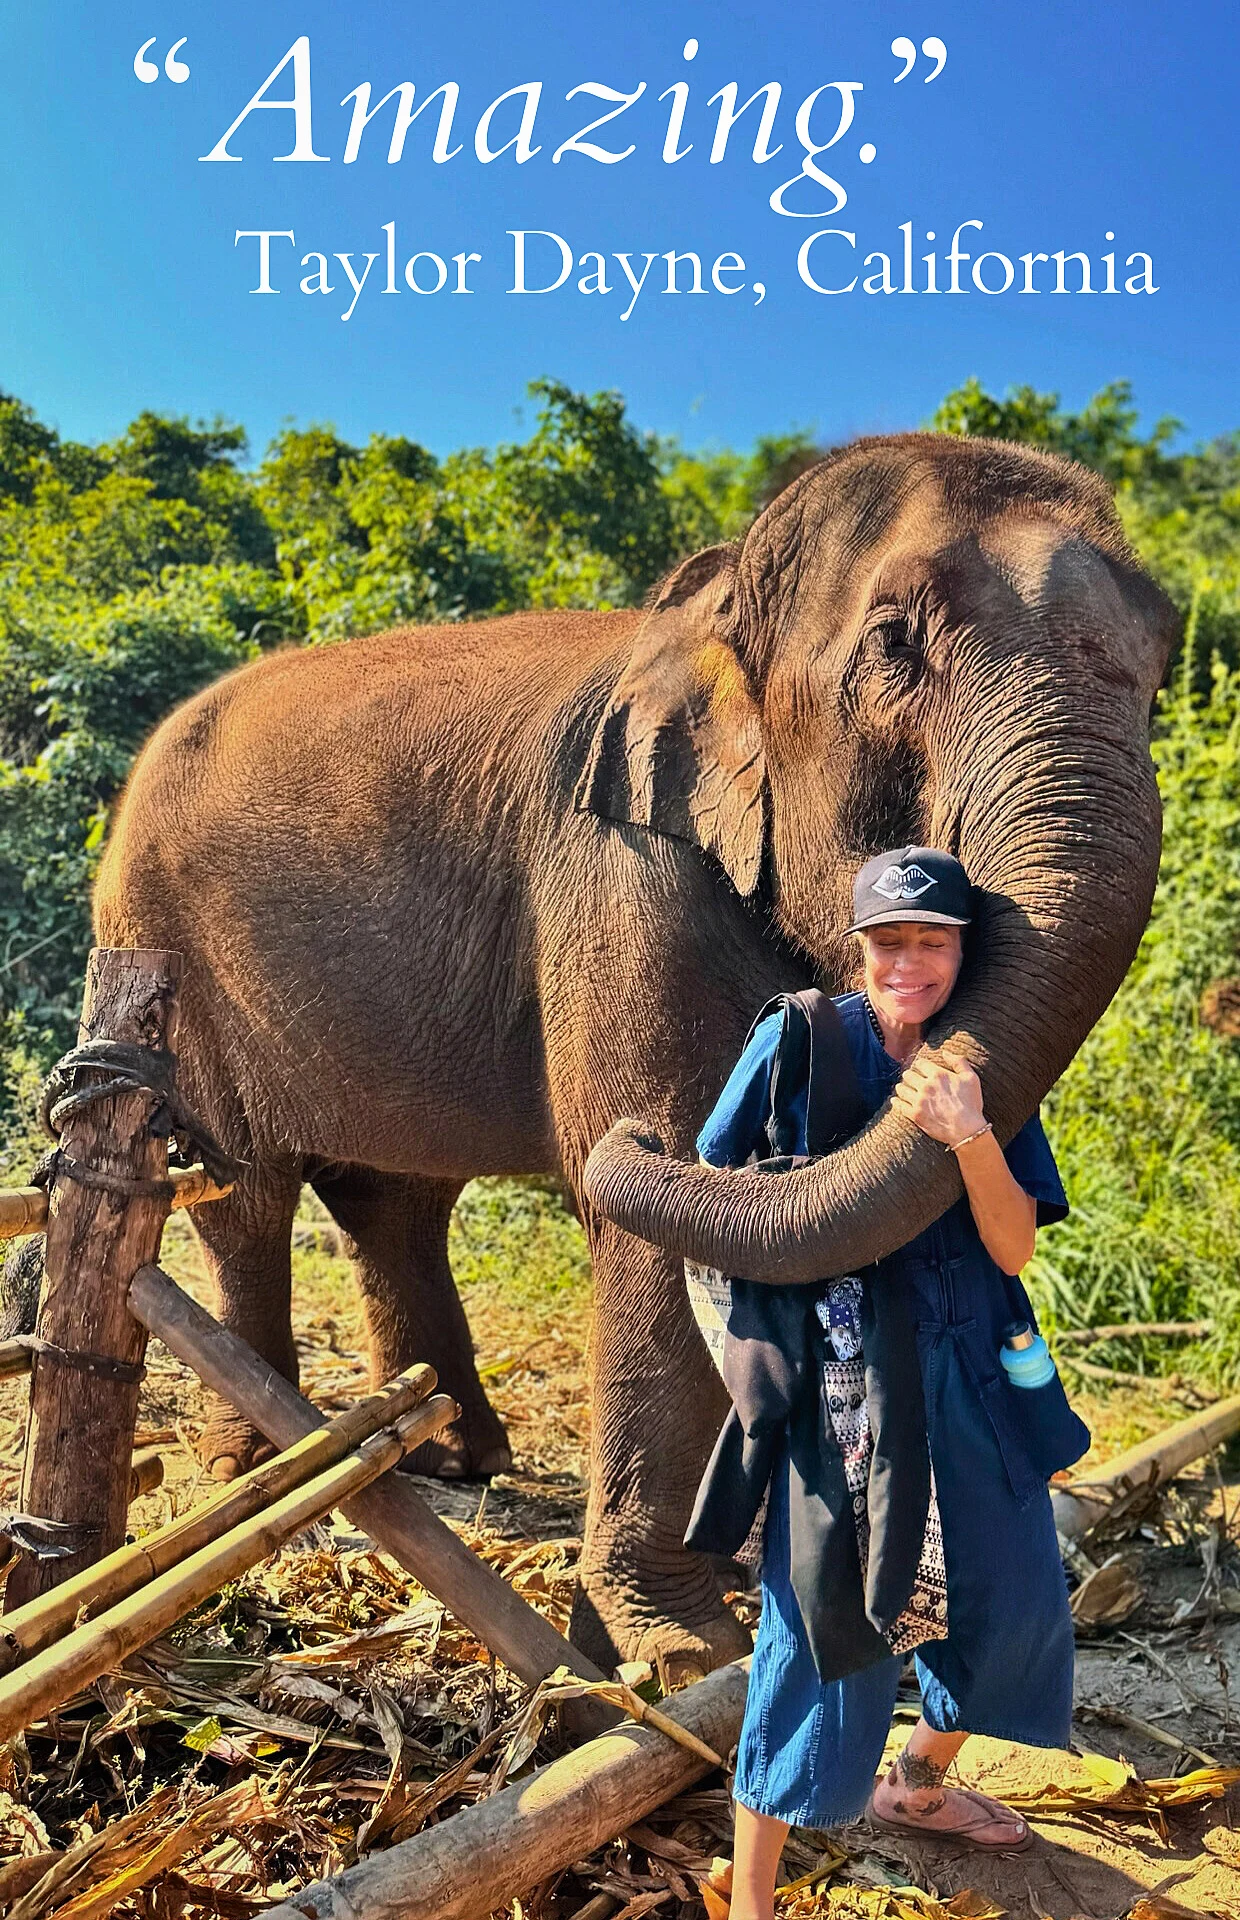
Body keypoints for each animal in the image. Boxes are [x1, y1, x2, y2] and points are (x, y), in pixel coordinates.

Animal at [93, 432, 1178, 1681]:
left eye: (1162, 664)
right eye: (894, 643)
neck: (711, 599)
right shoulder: (617, 869)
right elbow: (669, 1231)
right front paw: (679, 1654)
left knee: (392, 1199)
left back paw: (455, 1456)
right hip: (161, 950)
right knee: (244, 1191)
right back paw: (260, 1473)